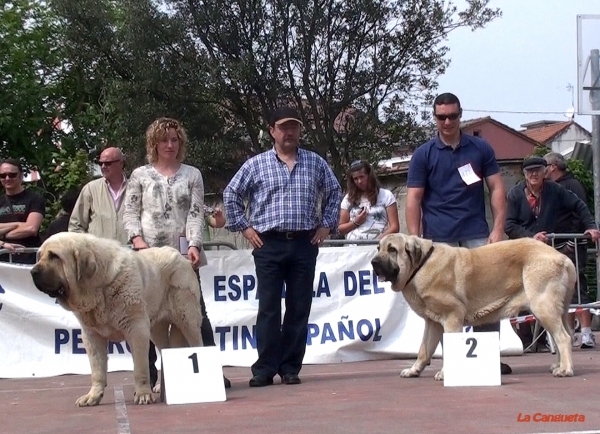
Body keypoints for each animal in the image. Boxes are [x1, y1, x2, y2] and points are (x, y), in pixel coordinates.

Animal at [29, 234, 204, 406]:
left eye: (54, 256)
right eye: (40, 255)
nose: (33, 271)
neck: (98, 286)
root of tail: (182, 257)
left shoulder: (137, 330)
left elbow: (140, 367)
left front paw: (143, 394)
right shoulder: (91, 336)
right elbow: (97, 370)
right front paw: (93, 396)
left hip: (188, 321)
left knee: (198, 344)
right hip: (157, 331)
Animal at [370, 234, 576, 380]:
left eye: (392, 249)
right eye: (378, 248)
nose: (373, 262)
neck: (420, 265)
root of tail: (563, 258)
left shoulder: (452, 316)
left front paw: (445, 373)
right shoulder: (433, 323)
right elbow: (424, 350)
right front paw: (414, 370)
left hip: (543, 307)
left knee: (563, 337)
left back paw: (565, 369)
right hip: (550, 311)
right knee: (562, 336)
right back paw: (559, 365)